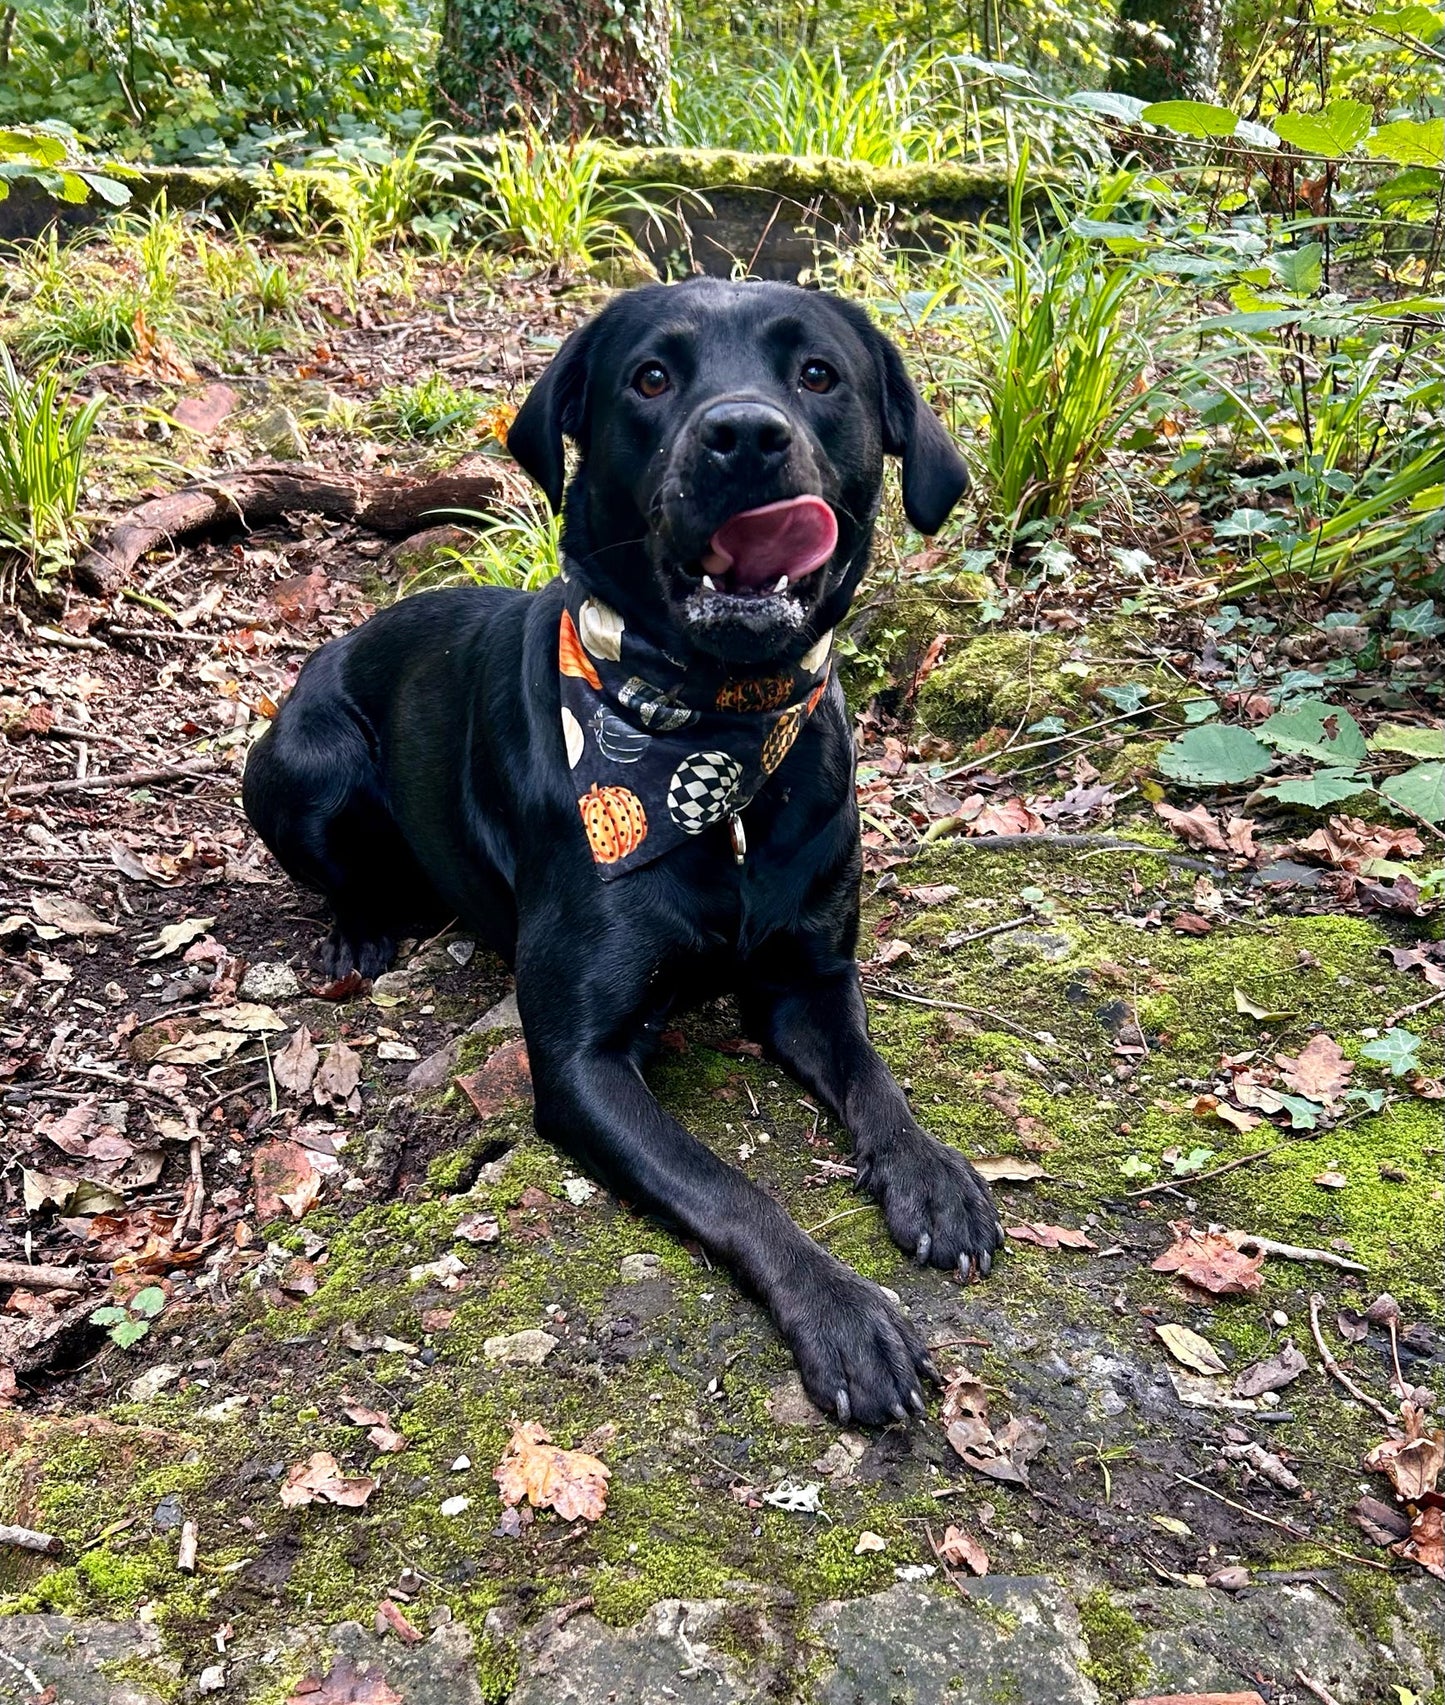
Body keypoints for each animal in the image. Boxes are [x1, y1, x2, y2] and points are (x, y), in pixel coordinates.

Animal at [241, 279, 1001, 1425]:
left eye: (817, 374)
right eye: (649, 377)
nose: (743, 436)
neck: (718, 729)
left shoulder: (811, 977)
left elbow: (875, 1081)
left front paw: (930, 1174)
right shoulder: (580, 1063)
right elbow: (732, 1186)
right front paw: (841, 1312)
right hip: (306, 759)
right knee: (341, 870)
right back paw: (360, 932)